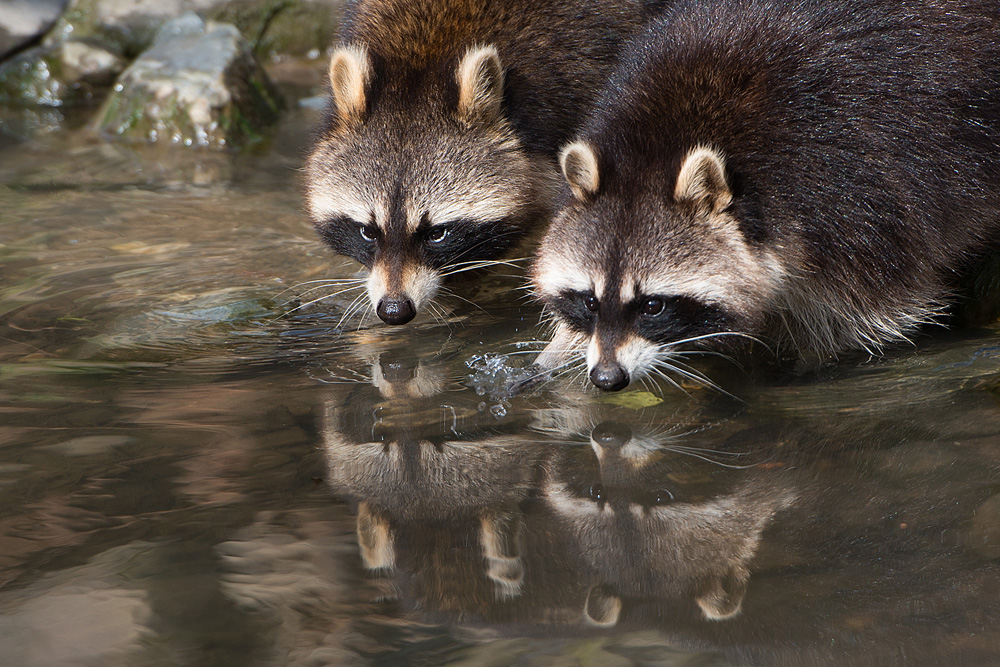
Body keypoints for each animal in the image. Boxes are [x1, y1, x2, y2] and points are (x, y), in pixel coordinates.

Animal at [532, 0, 1000, 392]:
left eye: (652, 305)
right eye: (589, 301)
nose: (607, 378)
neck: (655, 149)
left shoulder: (855, 205)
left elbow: (871, 318)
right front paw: (558, 352)